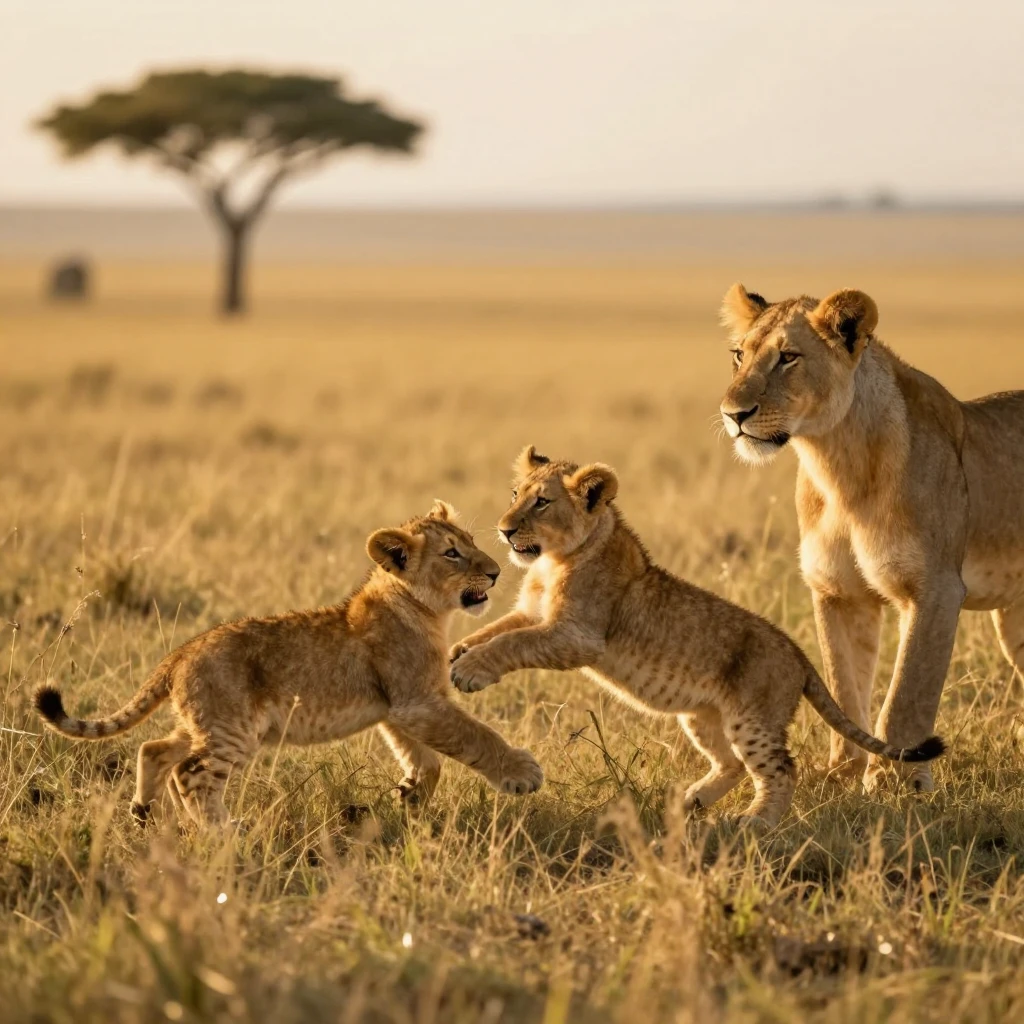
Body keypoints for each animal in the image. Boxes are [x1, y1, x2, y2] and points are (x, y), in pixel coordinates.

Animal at [35, 501, 543, 828]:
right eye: (452, 553)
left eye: (471, 541)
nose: (496, 571)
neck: (425, 609)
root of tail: (180, 653)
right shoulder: (417, 701)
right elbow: (473, 734)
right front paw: (521, 772)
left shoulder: (399, 707)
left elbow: (427, 758)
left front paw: (410, 793)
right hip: (233, 728)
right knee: (191, 774)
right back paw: (222, 830)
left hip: (204, 721)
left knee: (155, 749)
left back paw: (143, 812)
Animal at [448, 447, 943, 827]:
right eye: (516, 495)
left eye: (543, 503)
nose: (504, 529)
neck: (552, 562)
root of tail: (799, 655)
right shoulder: (532, 613)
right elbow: (498, 629)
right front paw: (460, 651)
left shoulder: (577, 636)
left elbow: (514, 643)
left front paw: (470, 671)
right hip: (702, 715)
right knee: (731, 763)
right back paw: (690, 801)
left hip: (753, 716)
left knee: (780, 769)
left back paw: (756, 822)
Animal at [718, 283, 1024, 791]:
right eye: (739, 355)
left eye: (788, 357)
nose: (733, 414)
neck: (837, 463)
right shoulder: (838, 592)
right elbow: (845, 686)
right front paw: (844, 774)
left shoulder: (935, 589)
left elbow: (906, 695)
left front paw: (895, 784)